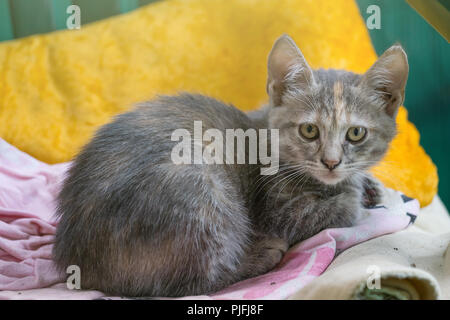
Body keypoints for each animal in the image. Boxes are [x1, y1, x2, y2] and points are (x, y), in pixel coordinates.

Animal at [51, 33, 408, 296]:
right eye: (309, 130)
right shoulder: (279, 211)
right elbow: (342, 208)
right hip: (201, 190)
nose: (332, 162)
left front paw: (370, 186)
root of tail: (77, 257)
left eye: (356, 133)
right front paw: (360, 193)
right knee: (186, 283)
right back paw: (261, 256)